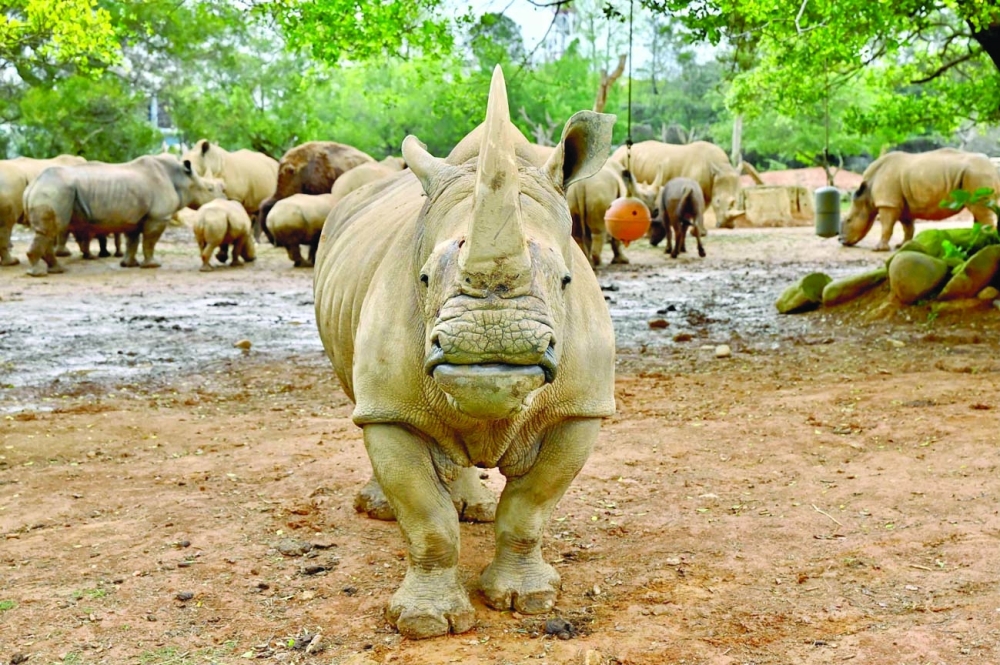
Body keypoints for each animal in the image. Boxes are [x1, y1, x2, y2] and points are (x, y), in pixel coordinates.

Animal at [24, 154, 225, 276]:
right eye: (209, 189)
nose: (223, 197)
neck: (181, 178)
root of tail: (32, 185)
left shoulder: (134, 218)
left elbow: (132, 241)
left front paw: (129, 264)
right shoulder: (158, 217)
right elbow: (150, 242)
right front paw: (153, 265)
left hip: (50, 190)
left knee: (48, 231)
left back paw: (57, 270)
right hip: (54, 190)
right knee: (50, 231)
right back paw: (38, 273)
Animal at [313, 66, 616, 639]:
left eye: (566, 280)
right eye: (425, 278)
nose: (491, 339)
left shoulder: (581, 407)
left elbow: (529, 508)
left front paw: (528, 600)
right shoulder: (391, 407)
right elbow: (427, 520)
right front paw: (424, 623)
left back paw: (471, 507)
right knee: (361, 406)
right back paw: (380, 508)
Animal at [610, 140, 744, 228]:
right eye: (718, 201)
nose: (728, 226)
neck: (719, 168)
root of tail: (617, 151)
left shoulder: (708, 191)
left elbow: (701, 208)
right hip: (620, 159)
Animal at [840, 148, 1000, 251]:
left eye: (848, 220)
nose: (841, 240)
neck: (867, 195)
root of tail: (993, 167)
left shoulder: (888, 203)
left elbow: (887, 226)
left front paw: (878, 249)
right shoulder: (901, 205)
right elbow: (907, 226)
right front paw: (903, 246)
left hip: (977, 174)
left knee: (981, 209)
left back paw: (988, 244)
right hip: (976, 175)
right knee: (979, 210)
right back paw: (977, 242)